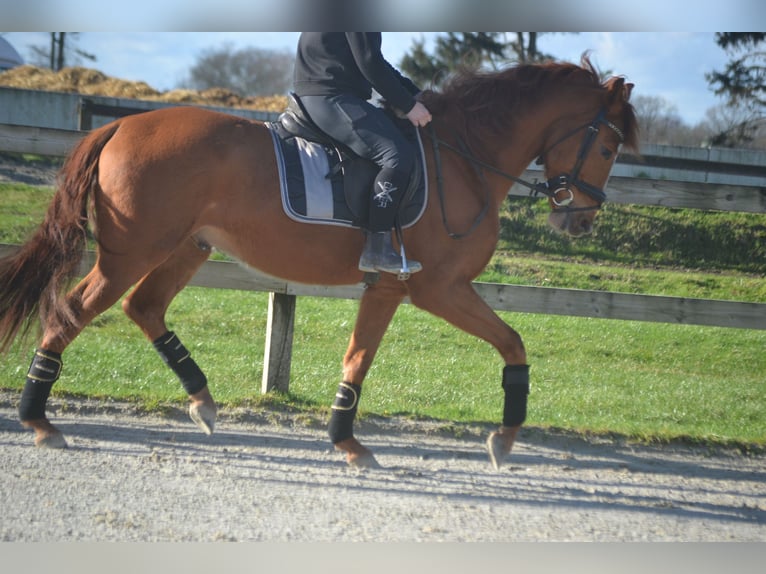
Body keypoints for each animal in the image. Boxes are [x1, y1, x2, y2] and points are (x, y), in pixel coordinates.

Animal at [0, 57, 636, 472]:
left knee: (145, 306)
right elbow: (505, 343)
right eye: (607, 148)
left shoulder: (393, 288)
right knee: (69, 315)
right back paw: (40, 422)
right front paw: (500, 439)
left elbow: (368, 356)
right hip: (132, 253)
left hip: (185, 248)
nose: (580, 221)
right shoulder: (433, 288)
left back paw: (202, 401)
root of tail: (121, 124)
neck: (463, 158)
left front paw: (346, 439)